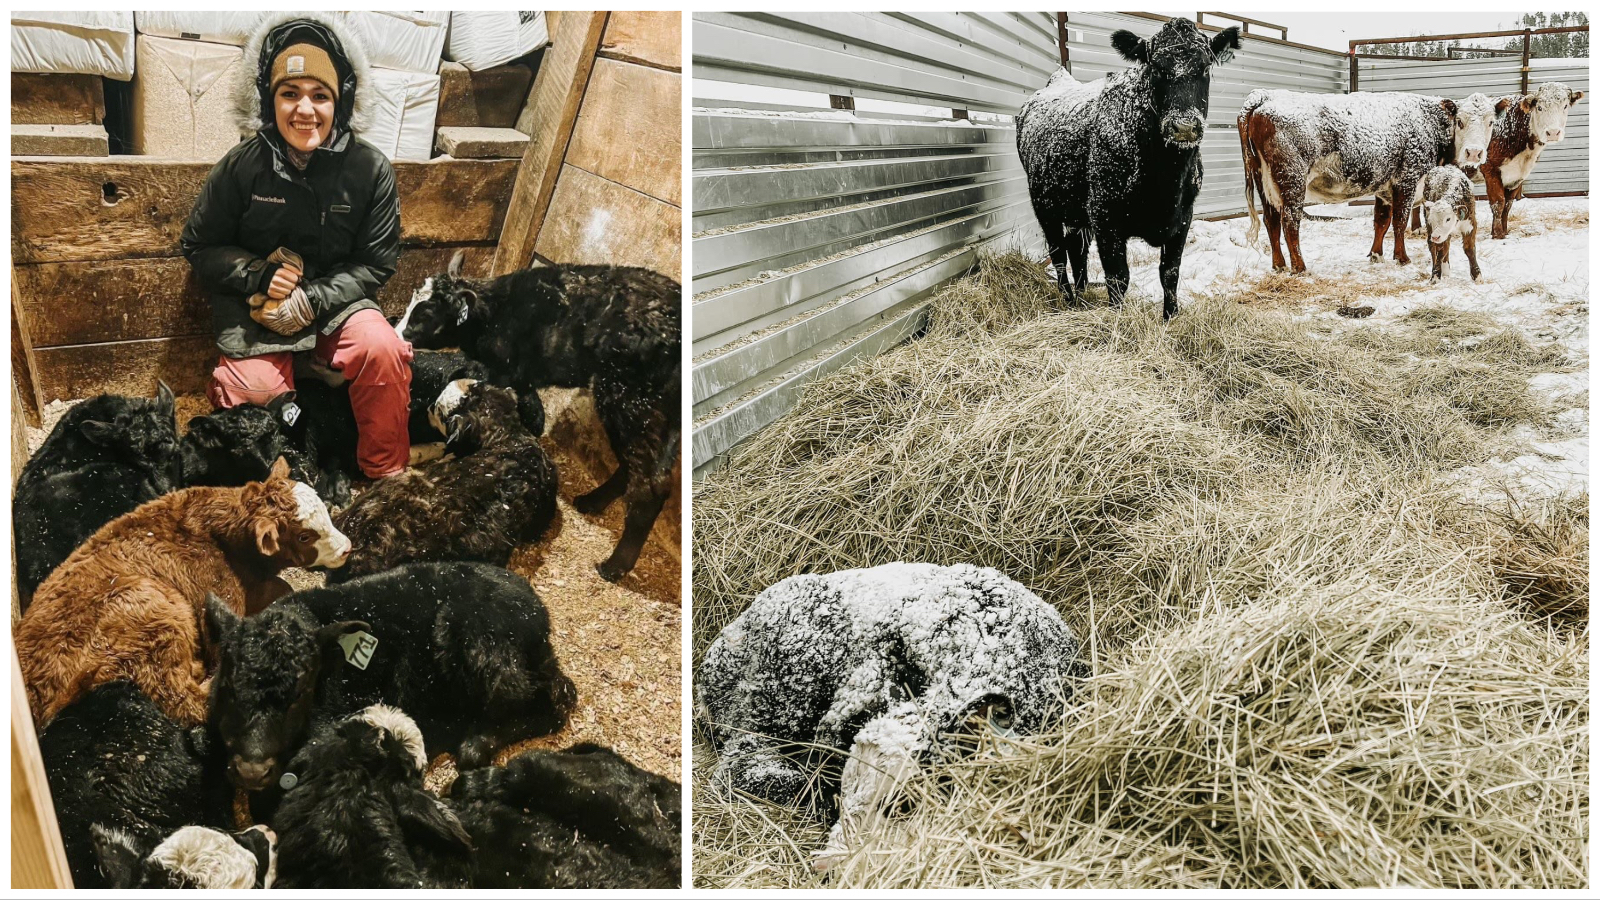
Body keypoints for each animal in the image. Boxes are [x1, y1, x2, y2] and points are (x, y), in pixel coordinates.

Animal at [1018, 17, 1241, 320]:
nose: (1183, 127)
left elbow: (1170, 273)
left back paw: (1082, 295)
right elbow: (1118, 277)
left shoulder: (1184, 216)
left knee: (1076, 249)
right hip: (1044, 205)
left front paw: (1170, 317)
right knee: (1058, 254)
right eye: (1155, 67)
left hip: (1075, 211)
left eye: (1205, 66)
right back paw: (1067, 298)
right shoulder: (1104, 217)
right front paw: (1117, 319)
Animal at [1238, 90, 1495, 273]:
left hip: (1265, 182)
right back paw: (1299, 267)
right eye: (1460, 121)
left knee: (1271, 221)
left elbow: (1381, 221)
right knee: (1290, 222)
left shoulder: (1384, 186)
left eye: (1491, 122)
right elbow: (1399, 221)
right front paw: (1402, 258)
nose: (1474, 152)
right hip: (1292, 179)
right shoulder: (1408, 178)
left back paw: (1279, 265)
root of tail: (1265, 96)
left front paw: (1376, 255)